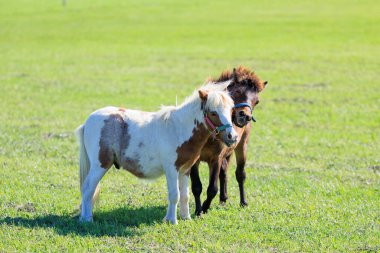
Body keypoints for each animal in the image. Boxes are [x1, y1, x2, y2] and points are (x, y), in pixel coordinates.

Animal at [76, 83, 238, 223]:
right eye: (213, 113)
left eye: (231, 111)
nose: (233, 136)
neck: (178, 129)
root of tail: (88, 121)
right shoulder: (171, 169)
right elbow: (174, 195)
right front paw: (172, 220)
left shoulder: (185, 170)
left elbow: (185, 195)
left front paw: (185, 218)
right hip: (100, 165)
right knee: (88, 188)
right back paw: (86, 219)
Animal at [190, 65, 268, 215]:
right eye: (237, 91)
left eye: (256, 101)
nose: (245, 116)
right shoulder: (194, 159)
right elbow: (197, 186)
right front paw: (198, 211)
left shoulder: (216, 158)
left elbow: (212, 188)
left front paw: (205, 207)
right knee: (224, 172)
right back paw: (223, 199)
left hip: (242, 146)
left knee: (240, 174)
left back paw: (242, 202)